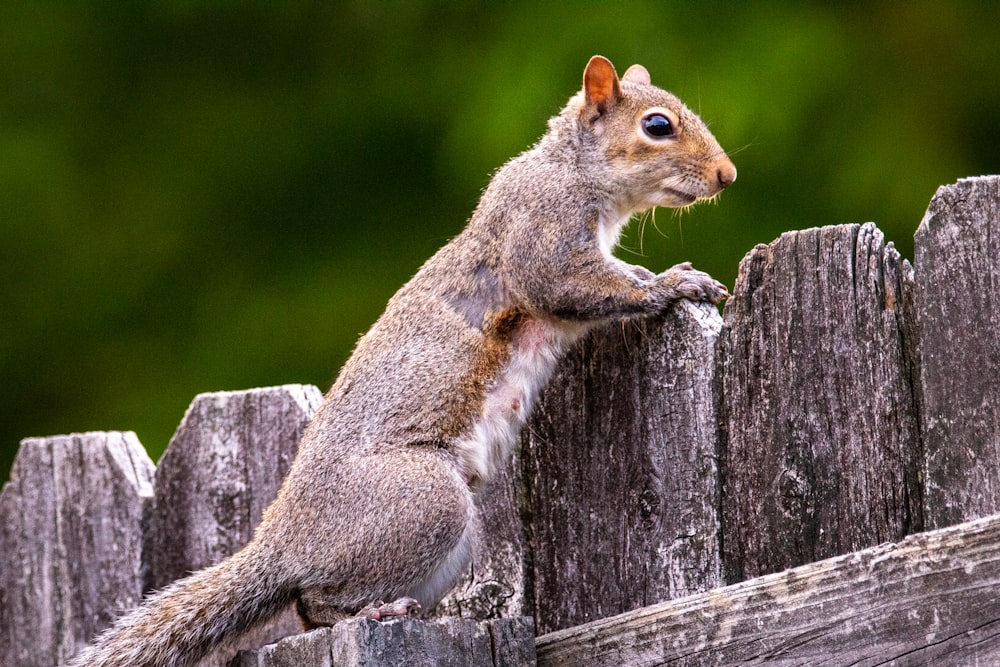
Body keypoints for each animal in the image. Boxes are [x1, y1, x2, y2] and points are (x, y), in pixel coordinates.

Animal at [68, 54, 736, 664]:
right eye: (657, 125)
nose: (727, 175)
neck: (573, 170)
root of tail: (284, 543)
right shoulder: (542, 232)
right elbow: (573, 285)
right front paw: (673, 284)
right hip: (424, 500)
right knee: (318, 601)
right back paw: (374, 611)